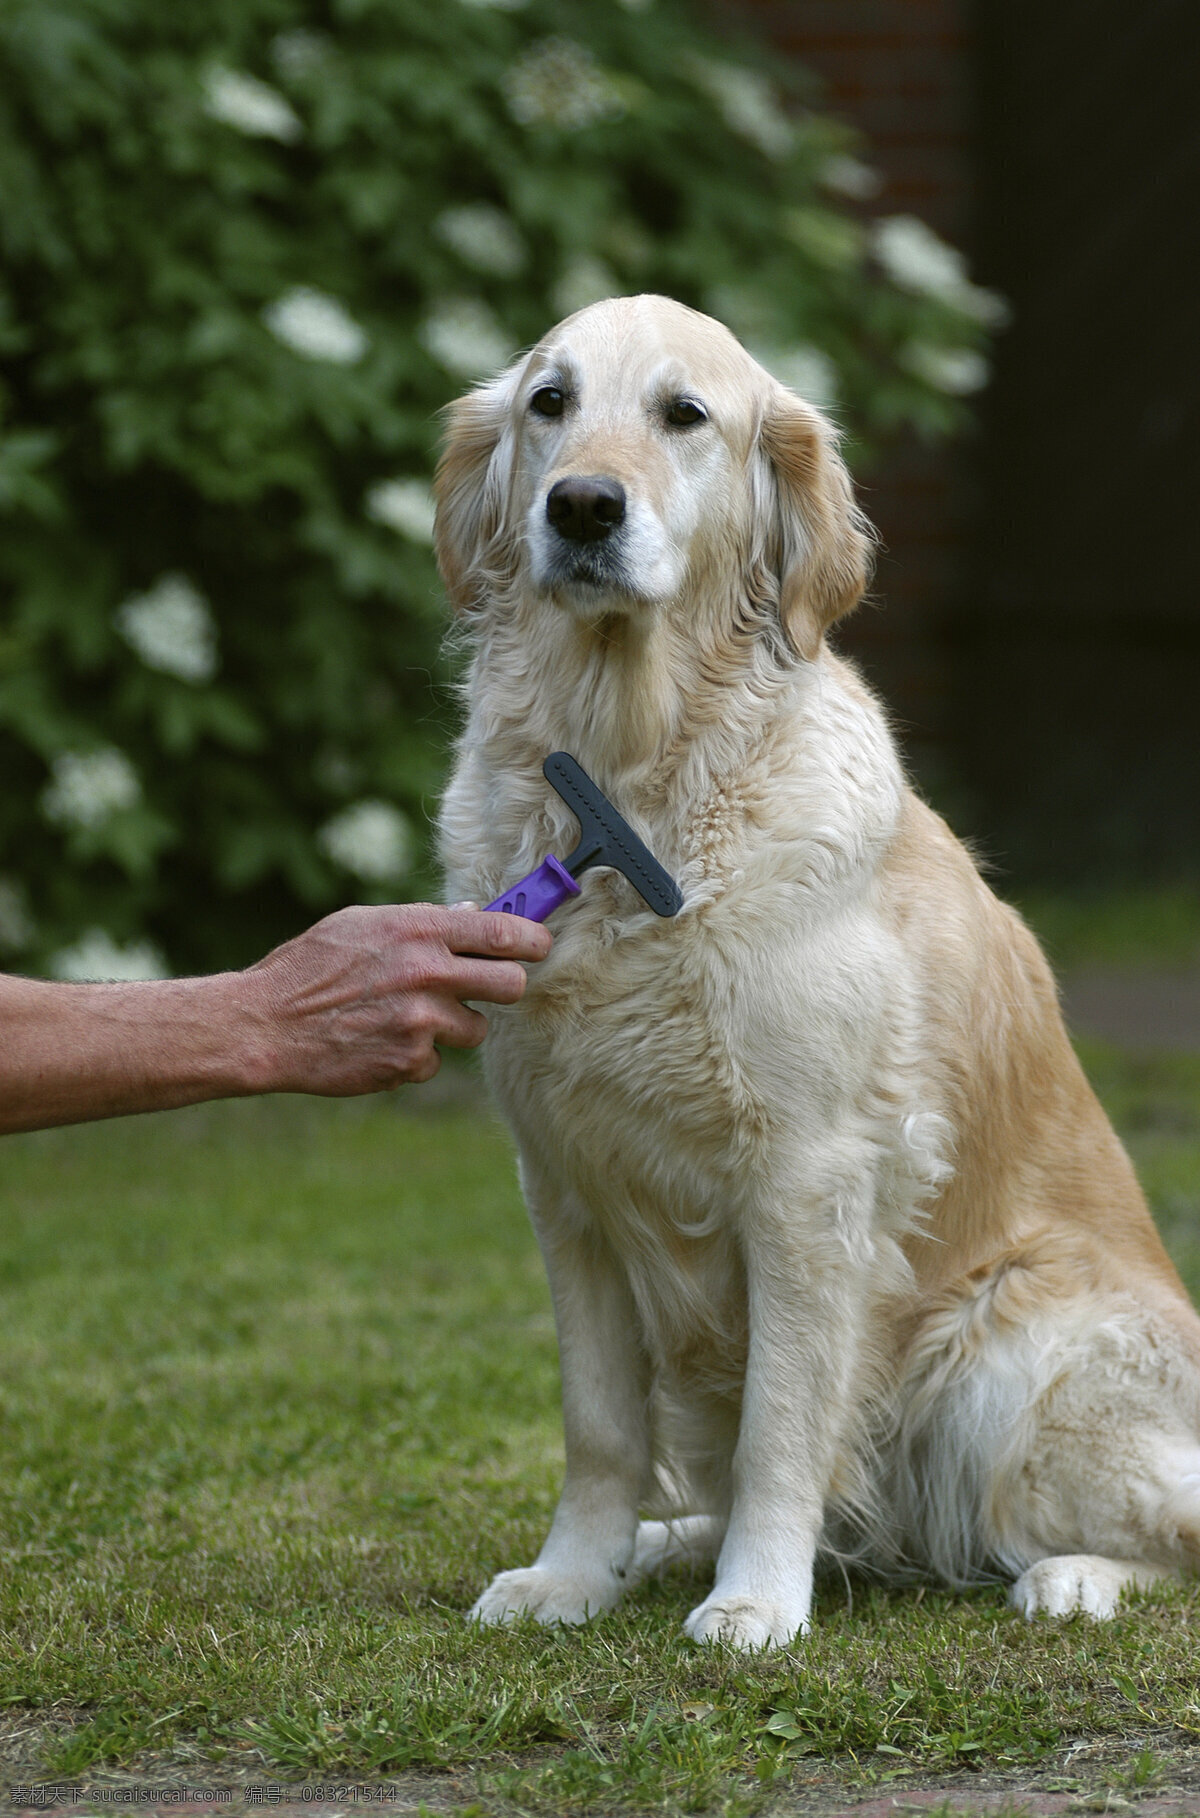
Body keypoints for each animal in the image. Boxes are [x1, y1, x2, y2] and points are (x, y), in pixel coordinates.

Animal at [436, 298, 1200, 1650]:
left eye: (685, 415)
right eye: (549, 403)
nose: (582, 507)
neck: (633, 785)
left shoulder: (807, 1180)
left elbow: (783, 1427)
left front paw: (754, 1602)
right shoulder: (563, 1183)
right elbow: (598, 1425)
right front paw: (572, 1574)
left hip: (1001, 1351)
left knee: (1159, 1529)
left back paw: (1071, 1578)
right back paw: (658, 1544)